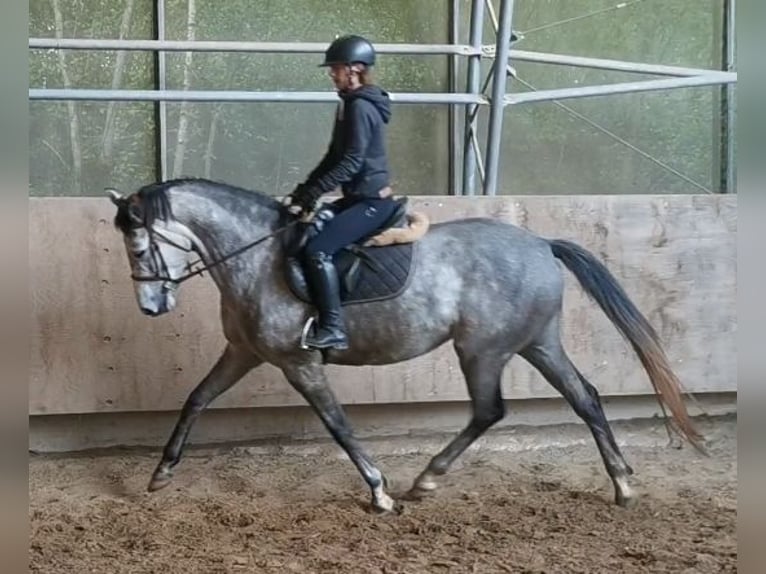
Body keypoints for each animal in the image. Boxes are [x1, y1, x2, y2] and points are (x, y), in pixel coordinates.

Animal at [106, 178, 708, 516]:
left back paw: (426, 480)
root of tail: (540, 242)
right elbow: (196, 399)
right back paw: (622, 485)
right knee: (585, 398)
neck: (255, 257)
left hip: (483, 349)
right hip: (538, 343)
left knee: (490, 409)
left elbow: (338, 425)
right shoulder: (244, 353)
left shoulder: (299, 363)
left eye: (139, 247)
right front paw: (161, 474)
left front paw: (380, 492)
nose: (151, 308)